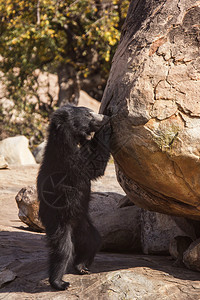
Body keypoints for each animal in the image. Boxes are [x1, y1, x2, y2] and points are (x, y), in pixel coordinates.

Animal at [36, 105, 111, 290]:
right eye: (88, 114)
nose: (104, 117)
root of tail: (73, 224)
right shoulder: (69, 161)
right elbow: (93, 165)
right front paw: (107, 128)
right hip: (58, 220)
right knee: (63, 249)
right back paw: (59, 282)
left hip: (84, 222)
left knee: (93, 241)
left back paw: (82, 266)